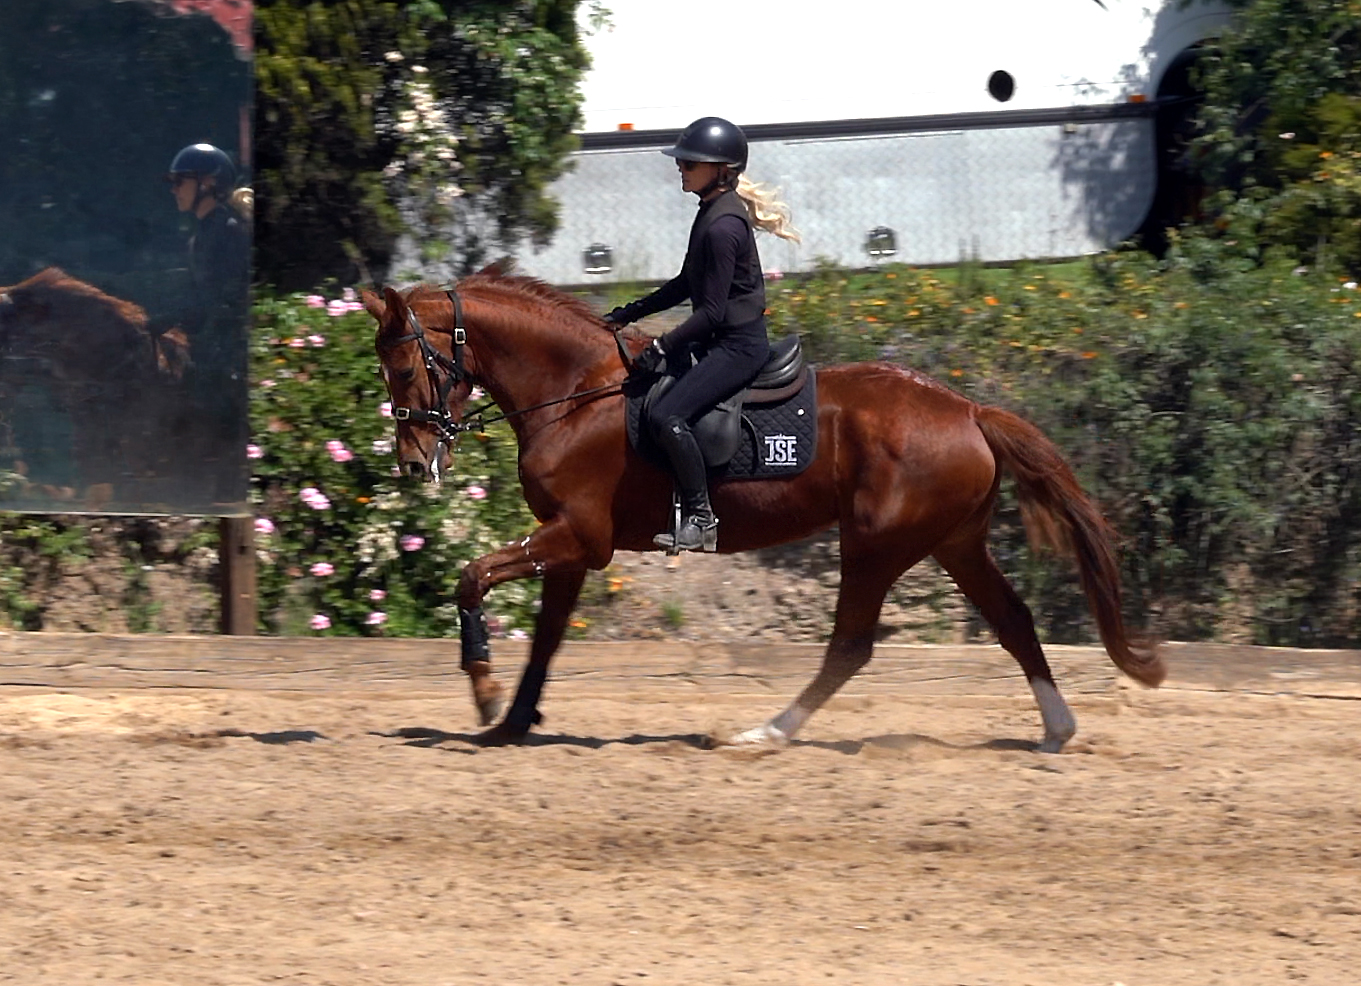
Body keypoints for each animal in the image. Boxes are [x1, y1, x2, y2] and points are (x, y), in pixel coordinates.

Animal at [363, 269, 1164, 752]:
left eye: (402, 367)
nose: (413, 462)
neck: (574, 392)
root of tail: (968, 409)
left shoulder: (576, 537)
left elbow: (471, 577)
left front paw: (483, 693)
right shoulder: (573, 545)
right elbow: (548, 639)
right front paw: (513, 721)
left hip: (875, 544)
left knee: (851, 646)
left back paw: (767, 733)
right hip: (953, 542)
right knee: (1012, 621)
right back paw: (1056, 729)